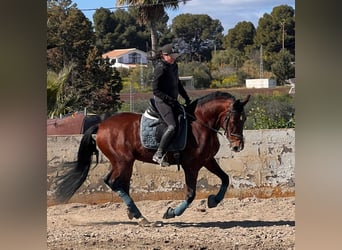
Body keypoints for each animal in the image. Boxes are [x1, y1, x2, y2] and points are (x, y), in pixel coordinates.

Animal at [54, 91, 250, 225]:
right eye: (234, 120)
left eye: (244, 119)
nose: (238, 146)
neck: (201, 124)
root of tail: (101, 125)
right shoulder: (191, 166)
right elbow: (191, 194)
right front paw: (171, 213)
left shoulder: (208, 161)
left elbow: (225, 178)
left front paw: (213, 201)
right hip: (122, 161)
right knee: (112, 181)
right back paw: (140, 216)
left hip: (125, 162)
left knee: (121, 183)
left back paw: (133, 212)